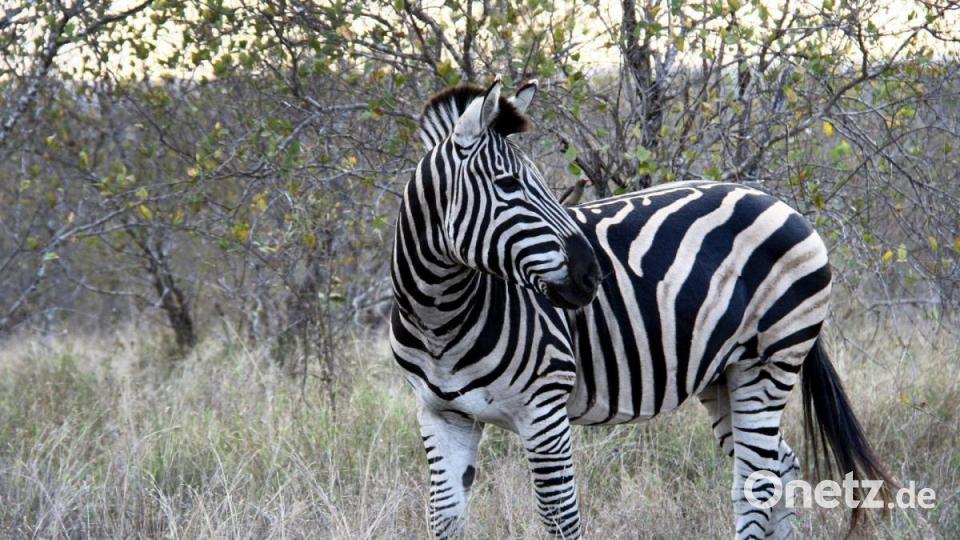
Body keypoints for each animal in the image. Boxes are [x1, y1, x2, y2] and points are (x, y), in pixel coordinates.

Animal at [389, 77, 894, 539]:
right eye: (508, 184)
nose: (593, 275)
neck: (440, 320)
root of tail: (779, 203)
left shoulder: (544, 410)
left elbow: (561, 521)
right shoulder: (442, 416)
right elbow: (445, 520)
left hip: (770, 362)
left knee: (757, 483)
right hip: (724, 373)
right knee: (779, 467)